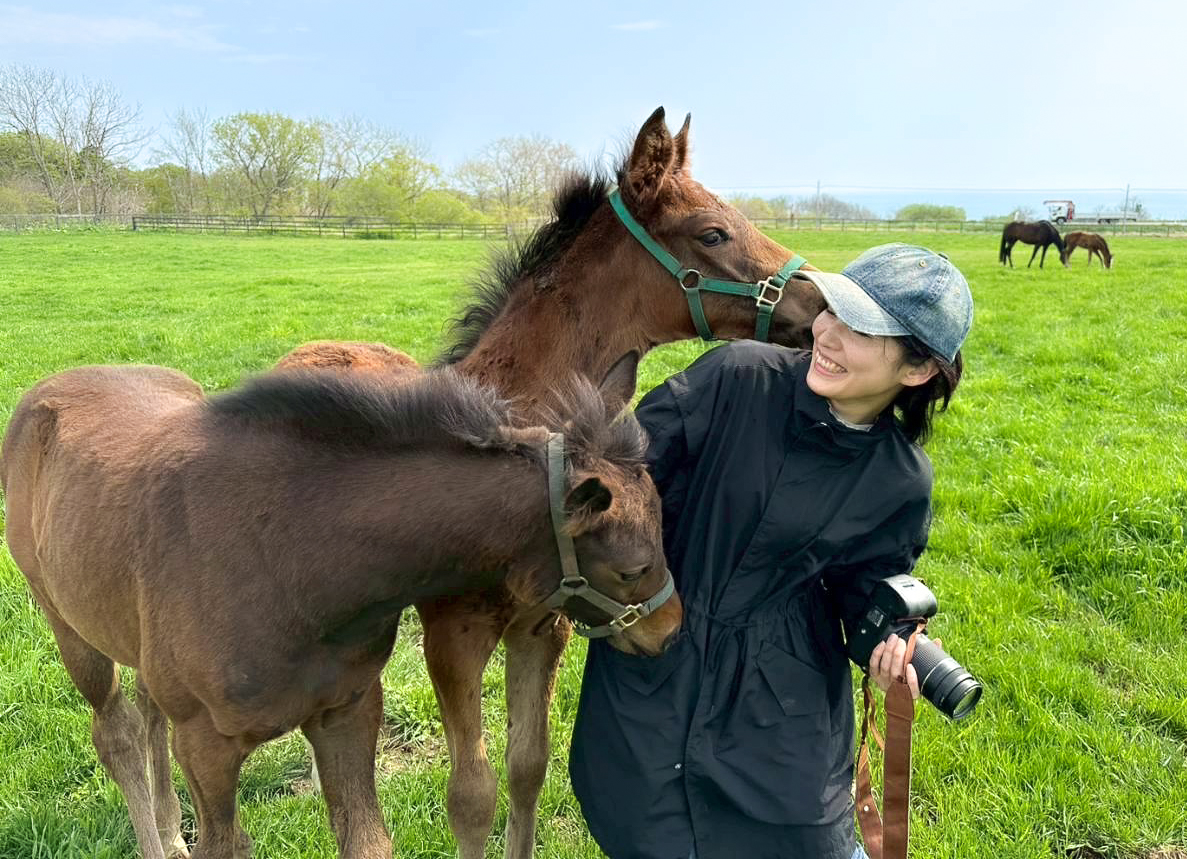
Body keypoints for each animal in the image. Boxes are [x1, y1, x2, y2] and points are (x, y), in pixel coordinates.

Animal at [0, 356, 682, 859]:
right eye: (633, 568)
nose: (670, 630)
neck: (293, 558)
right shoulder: (206, 744)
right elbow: (228, 841)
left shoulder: (347, 712)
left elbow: (367, 841)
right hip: (66, 623)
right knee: (115, 732)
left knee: (145, 710)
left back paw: (171, 835)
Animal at [276, 106, 826, 859]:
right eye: (712, 231)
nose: (821, 303)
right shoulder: (454, 639)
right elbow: (471, 795)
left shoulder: (547, 626)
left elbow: (527, 767)